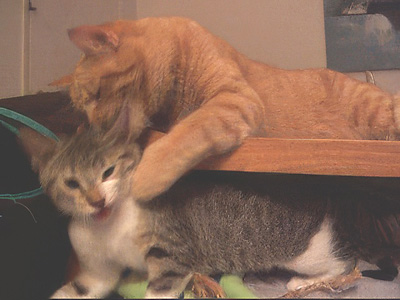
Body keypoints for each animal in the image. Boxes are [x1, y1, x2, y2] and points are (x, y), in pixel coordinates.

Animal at [18, 127, 360, 298]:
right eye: (71, 183)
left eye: (108, 172)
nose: (96, 200)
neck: (107, 227)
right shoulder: (98, 272)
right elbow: (77, 289)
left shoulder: (174, 255)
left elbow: (161, 287)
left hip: (305, 251)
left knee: (341, 264)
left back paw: (303, 283)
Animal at [52, 17, 400, 203]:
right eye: (82, 109)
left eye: (96, 95)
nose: (95, 129)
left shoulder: (235, 98)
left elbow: (187, 132)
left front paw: (144, 178)